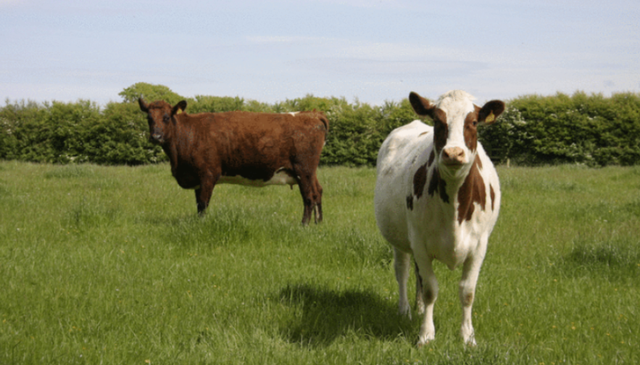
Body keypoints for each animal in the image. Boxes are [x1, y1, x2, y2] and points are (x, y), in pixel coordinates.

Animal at [138, 98, 328, 223]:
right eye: (149, 118)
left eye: (166, 117)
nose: (156, 136)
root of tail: (312, 114)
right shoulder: (197, 179)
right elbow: (198, 205)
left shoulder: (208, 175)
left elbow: (203, 204)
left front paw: (201, 225)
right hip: (310, 172)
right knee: (318, 191)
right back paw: (318, 224)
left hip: (304, 170)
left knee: (309, 197)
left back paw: (304, 226)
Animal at [376, 89, 504, 344]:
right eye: (437, 121)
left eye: (473, 122)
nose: (453, 152)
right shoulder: (419, 242)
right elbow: (430, 289)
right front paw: (426, 335)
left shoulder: (479, 246)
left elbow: (467, 291)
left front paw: (468, 337)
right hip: (400, 240)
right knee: (403, 271)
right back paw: (405, 309)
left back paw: (418, 309)